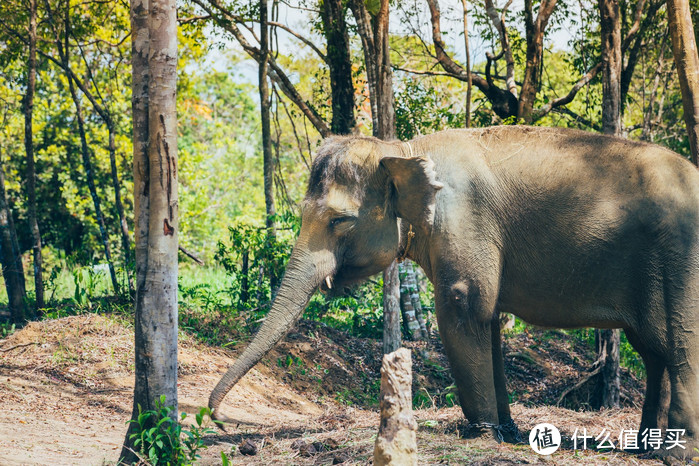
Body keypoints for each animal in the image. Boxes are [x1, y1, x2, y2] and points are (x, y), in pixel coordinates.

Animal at [209, 125, 699, 460]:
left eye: (339, 221)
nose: (223, 419)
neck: (404, 150)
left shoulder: (465, 222)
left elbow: (465, 304)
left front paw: (480, 433)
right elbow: (490, 319)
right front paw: (506, 431)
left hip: (682, 255)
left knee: (679, 341)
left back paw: (676, 452)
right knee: (653, 348)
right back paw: (646, 446)